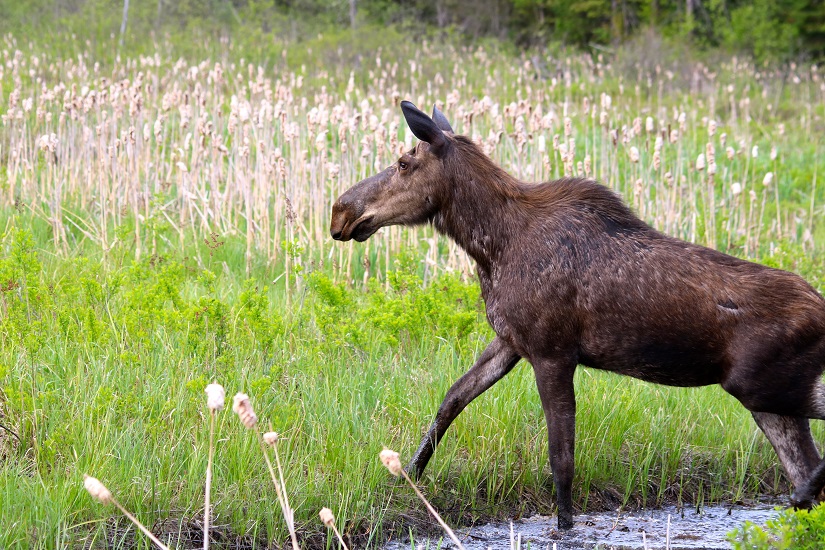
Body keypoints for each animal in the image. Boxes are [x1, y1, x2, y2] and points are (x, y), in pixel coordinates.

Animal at [326, 100, 824, 532]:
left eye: (403, 162)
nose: (340, 211)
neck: (489, 246)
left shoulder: (553, 352)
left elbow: (560, 457)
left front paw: (564, 525)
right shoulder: (510, 342)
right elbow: (451, 400)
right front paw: (409, 474)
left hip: (760, 386)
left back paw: (803, 493)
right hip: (770, 402)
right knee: (805, 463)